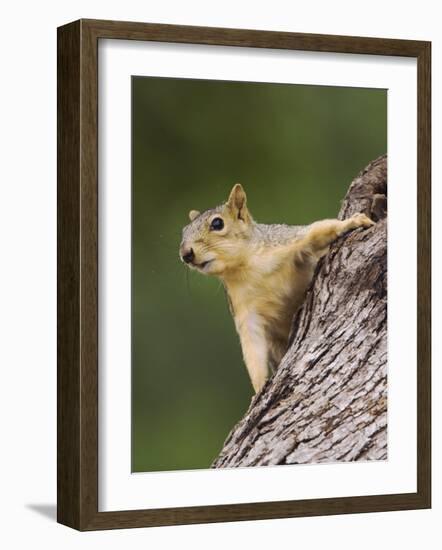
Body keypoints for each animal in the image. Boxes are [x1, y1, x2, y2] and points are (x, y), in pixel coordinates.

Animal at [179, 183, 372, 394]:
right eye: (184, 231)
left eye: (217, 224)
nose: (185, 254)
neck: (247, 267)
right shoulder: (244, 310)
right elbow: (252, 347)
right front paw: (259, 388)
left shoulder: (287, 242)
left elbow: (317, 231)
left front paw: (353, 222)